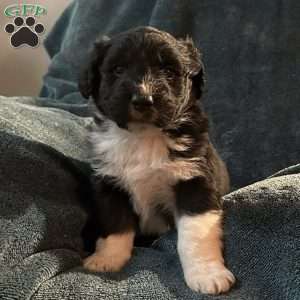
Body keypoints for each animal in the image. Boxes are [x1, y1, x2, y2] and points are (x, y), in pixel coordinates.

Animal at [78, 27, 236, 294]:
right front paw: (108, 258)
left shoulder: (194, 182)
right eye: (118, 69)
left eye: (169, 72)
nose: (143, 99)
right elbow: (116, 224)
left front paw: (207, 273)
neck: (143, 135)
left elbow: (195, 234)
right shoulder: (109, 183)